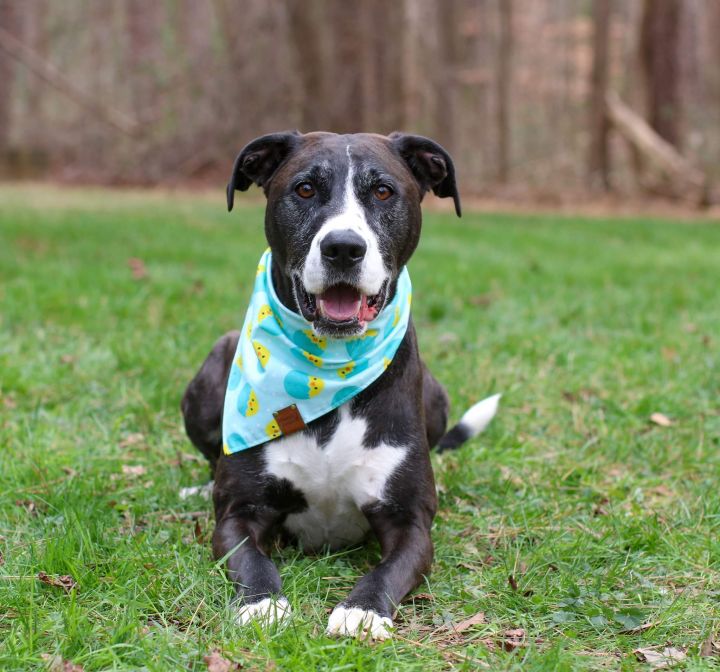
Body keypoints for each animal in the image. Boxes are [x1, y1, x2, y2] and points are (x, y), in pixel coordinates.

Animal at [180, 133, 498, 640]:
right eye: (306, 189)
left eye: (383, 192)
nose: (344, 248)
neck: (326, 366)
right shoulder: (240, 513)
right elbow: (249, 558)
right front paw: (263, 603)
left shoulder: (410, 522)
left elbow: (390, 568)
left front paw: (362, 610)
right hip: (214, 368)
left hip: (437, 395)